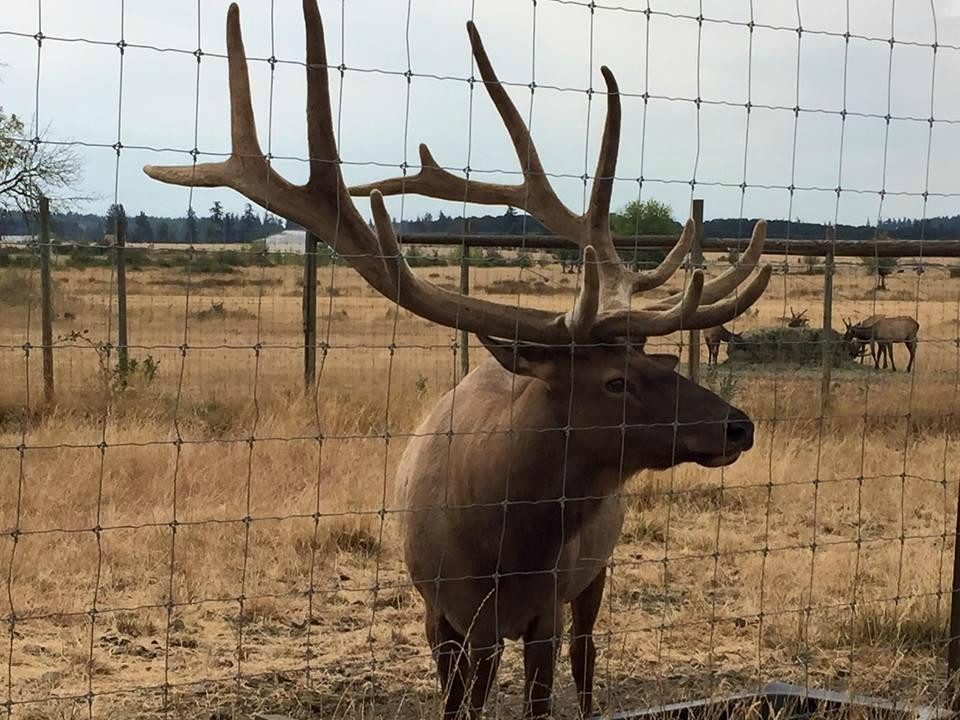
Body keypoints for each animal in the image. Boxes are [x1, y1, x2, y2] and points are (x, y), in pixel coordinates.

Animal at [143, 3, 772, 717]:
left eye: (661, 366)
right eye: (616, 381)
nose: (738, 425)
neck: (498, 543)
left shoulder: (542, 612)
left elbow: (538, 695)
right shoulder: (441, 611)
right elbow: (455, 702)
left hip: (594, 573)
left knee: (587, 655)